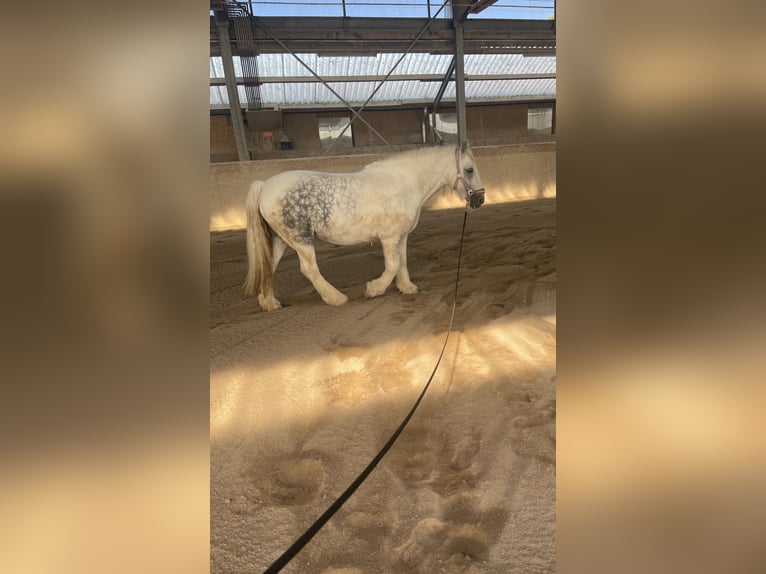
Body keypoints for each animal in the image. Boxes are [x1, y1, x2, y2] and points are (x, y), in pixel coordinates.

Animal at [246, 146, 486, 312]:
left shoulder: (401, 236)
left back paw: (269, 303)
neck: (404, 183)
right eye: (469, 169)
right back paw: (336, 298)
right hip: (300, 239)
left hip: (280, 239)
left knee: (269, 266)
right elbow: (392, 266)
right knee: (309, 269)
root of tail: (264, 185)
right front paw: (374, 289)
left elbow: (402, 262)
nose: (480, 199)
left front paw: (407, 287)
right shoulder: (389, 237)